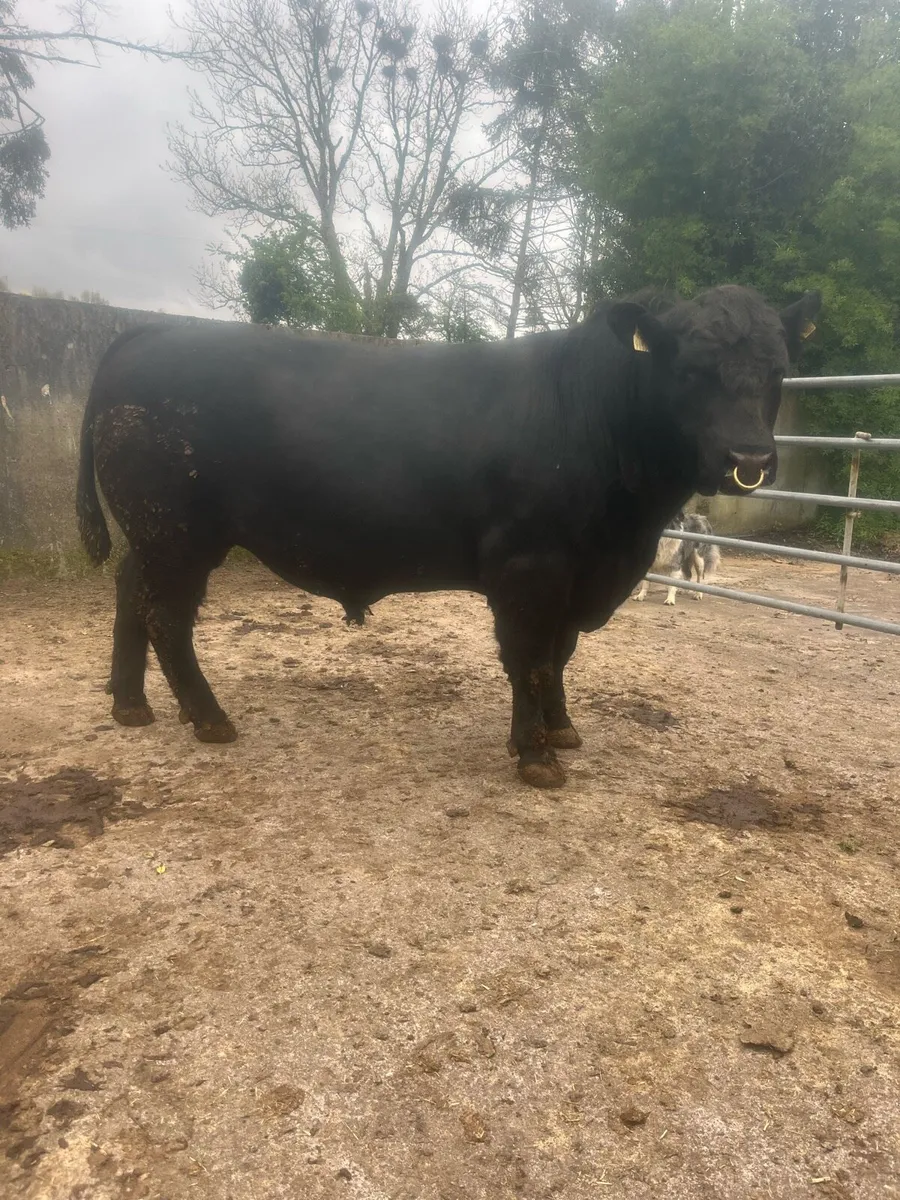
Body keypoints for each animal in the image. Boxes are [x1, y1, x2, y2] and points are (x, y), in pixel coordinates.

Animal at [76, 284, 820, 788]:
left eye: (780, 371)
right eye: (690, 369)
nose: (751, 459)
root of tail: (147, 335)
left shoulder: (580, 571)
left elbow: (562, 654)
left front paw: (561, 729)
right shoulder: (530, 566)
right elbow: (531, 657)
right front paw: (534, 755)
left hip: (153, 535)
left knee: (129, 594)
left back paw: (130, 704)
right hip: (177, 532)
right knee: (166, 617)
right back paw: (208, 719)